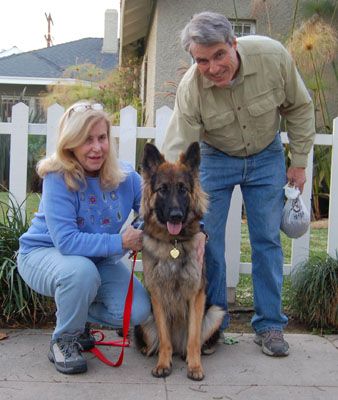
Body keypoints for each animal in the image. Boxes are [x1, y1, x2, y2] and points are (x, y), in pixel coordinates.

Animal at [134, 142, 224, 380]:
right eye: (163, 189)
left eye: (183, 189)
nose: (175, 215)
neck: (172, 243)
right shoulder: (157, 296)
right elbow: (164, 339)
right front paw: (163, 364)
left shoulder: (196, 296)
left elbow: (193, 339)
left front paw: (195, 366)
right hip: (144, 318)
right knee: (159, 342)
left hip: (216, 313)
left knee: (193, 342)